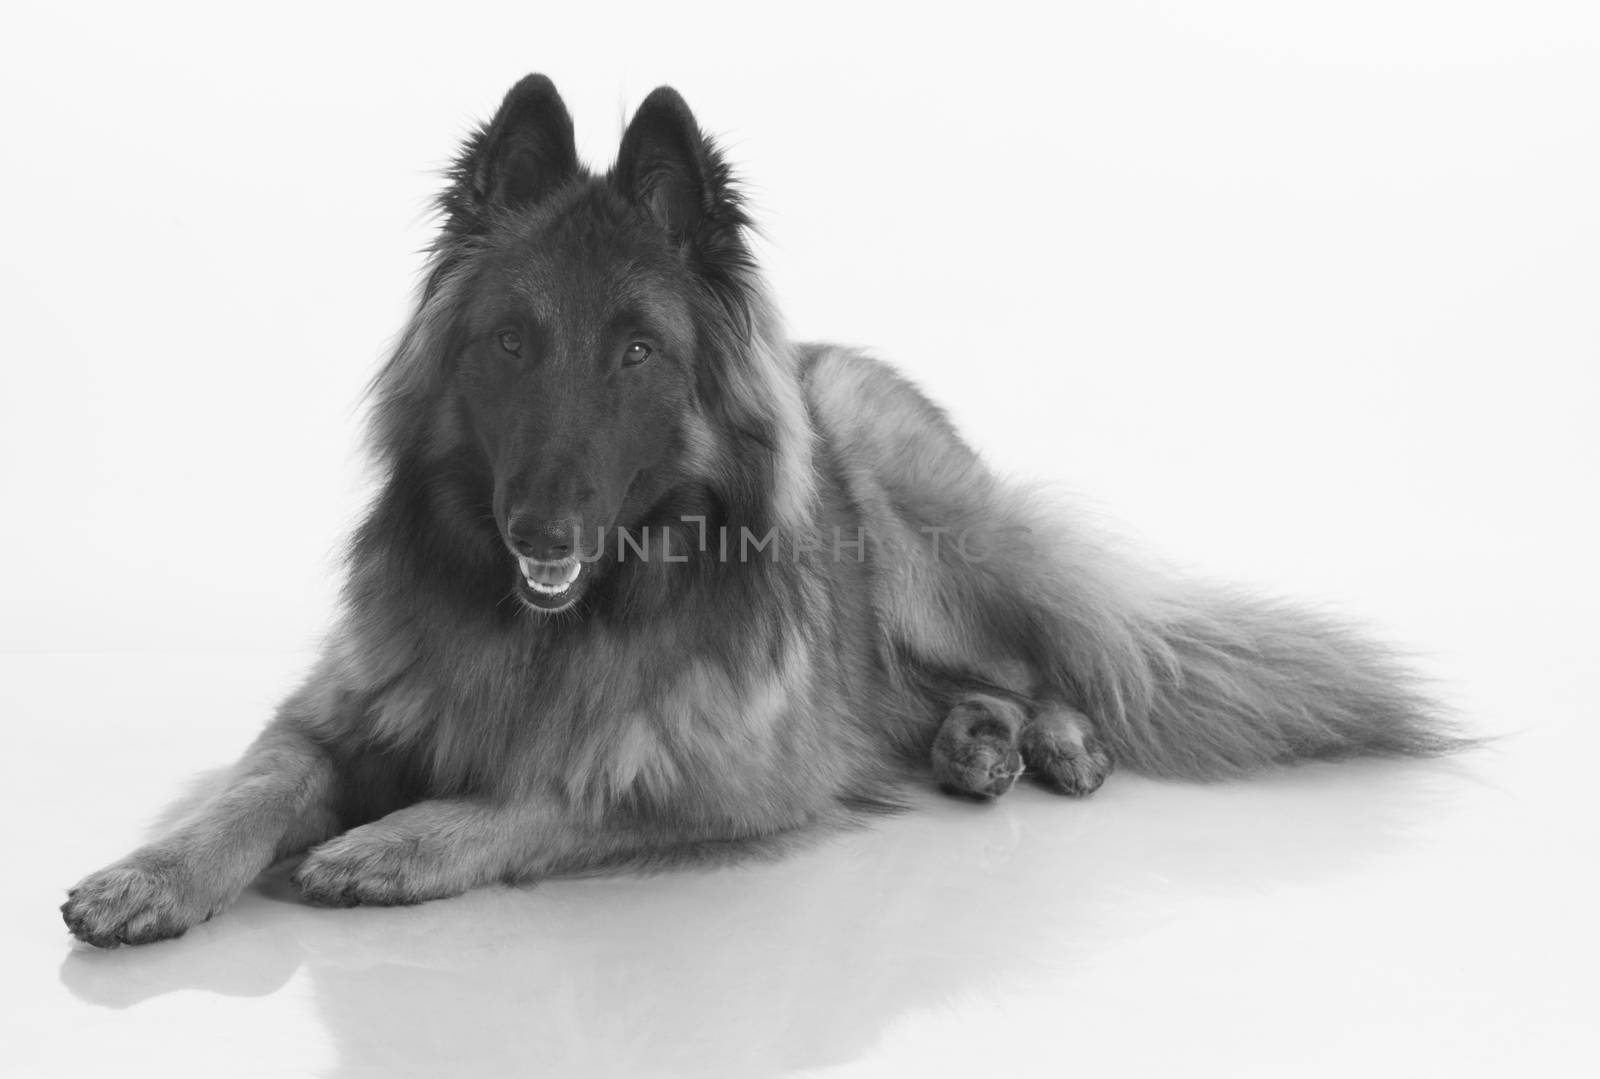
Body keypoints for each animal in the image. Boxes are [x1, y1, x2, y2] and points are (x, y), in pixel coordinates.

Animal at [62, 75, 1465, 947]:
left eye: (637, 352)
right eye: (511, 342)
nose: (541, 532)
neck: (550, 631)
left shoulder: (711, 781)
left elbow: (547, 791)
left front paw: (396, 840)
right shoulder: (326, 714)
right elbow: (250, 787)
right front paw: (149, 874)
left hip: (917, 533)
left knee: (1049, 657)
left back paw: (1049, 738)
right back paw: (975, 744)